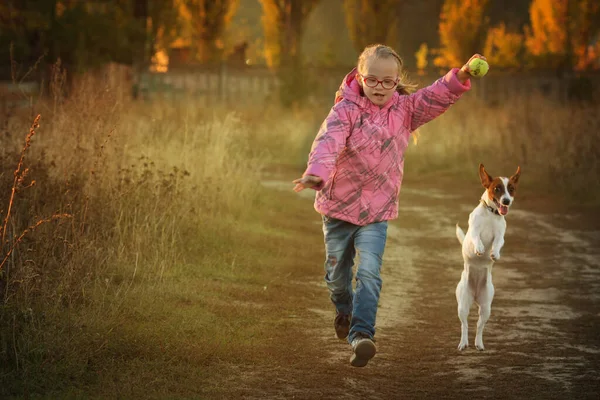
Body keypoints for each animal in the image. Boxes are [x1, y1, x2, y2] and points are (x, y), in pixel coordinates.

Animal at [454, 162, 520, 350]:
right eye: (497, 188)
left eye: (511, 189)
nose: (506, 201)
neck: (491, 214)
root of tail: (475, 295)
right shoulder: (474, 231)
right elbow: (476, 238)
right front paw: (479, 248)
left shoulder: (500, 235)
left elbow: (497, 243)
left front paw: (494, 253)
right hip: (462, 305)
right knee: (464, 324)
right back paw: (464, 343)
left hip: (486, 307)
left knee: (479, 326)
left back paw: (479, 343)